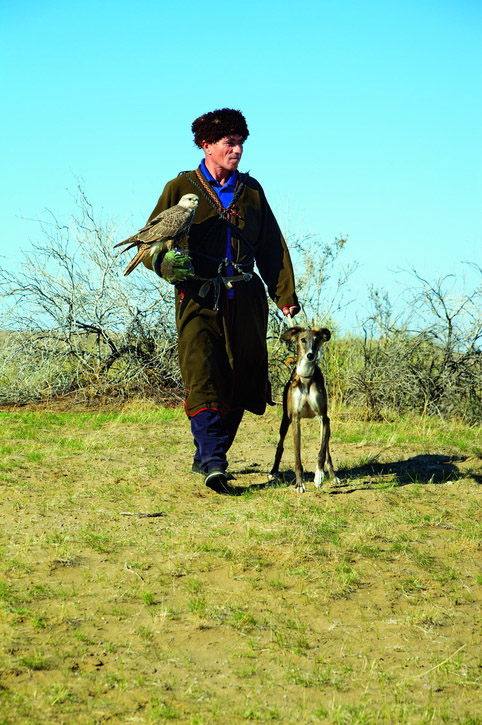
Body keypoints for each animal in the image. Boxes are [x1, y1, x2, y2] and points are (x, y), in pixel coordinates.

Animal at [269, 326, 339, 493]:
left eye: (317, 339)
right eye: (302, 340)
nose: (310, 355)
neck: (306, 377)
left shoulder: (323, 417)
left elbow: (322, 452)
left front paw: (319, 476)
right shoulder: (296, 419)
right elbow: (297, 456)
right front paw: (299, 484)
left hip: (325, 424)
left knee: (327, 449)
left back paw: (332, 475)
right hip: (285, 420)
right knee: (280, 446)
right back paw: (273, 471)